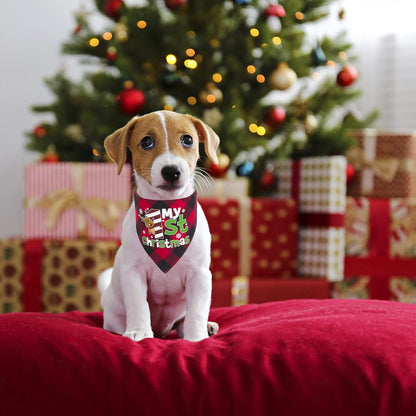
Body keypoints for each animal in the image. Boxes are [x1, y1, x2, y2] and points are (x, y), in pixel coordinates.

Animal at [100, 109, 221, 342]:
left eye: (188, 140)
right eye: (146, 142)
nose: (171, 171)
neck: (166, 212)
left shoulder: (200, 274)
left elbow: (197, 311)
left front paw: (196, 338)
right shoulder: (133, 272)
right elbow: (139, 305)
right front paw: (139, 331)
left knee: (184, 321)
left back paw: (206, 327)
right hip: (112, 313)